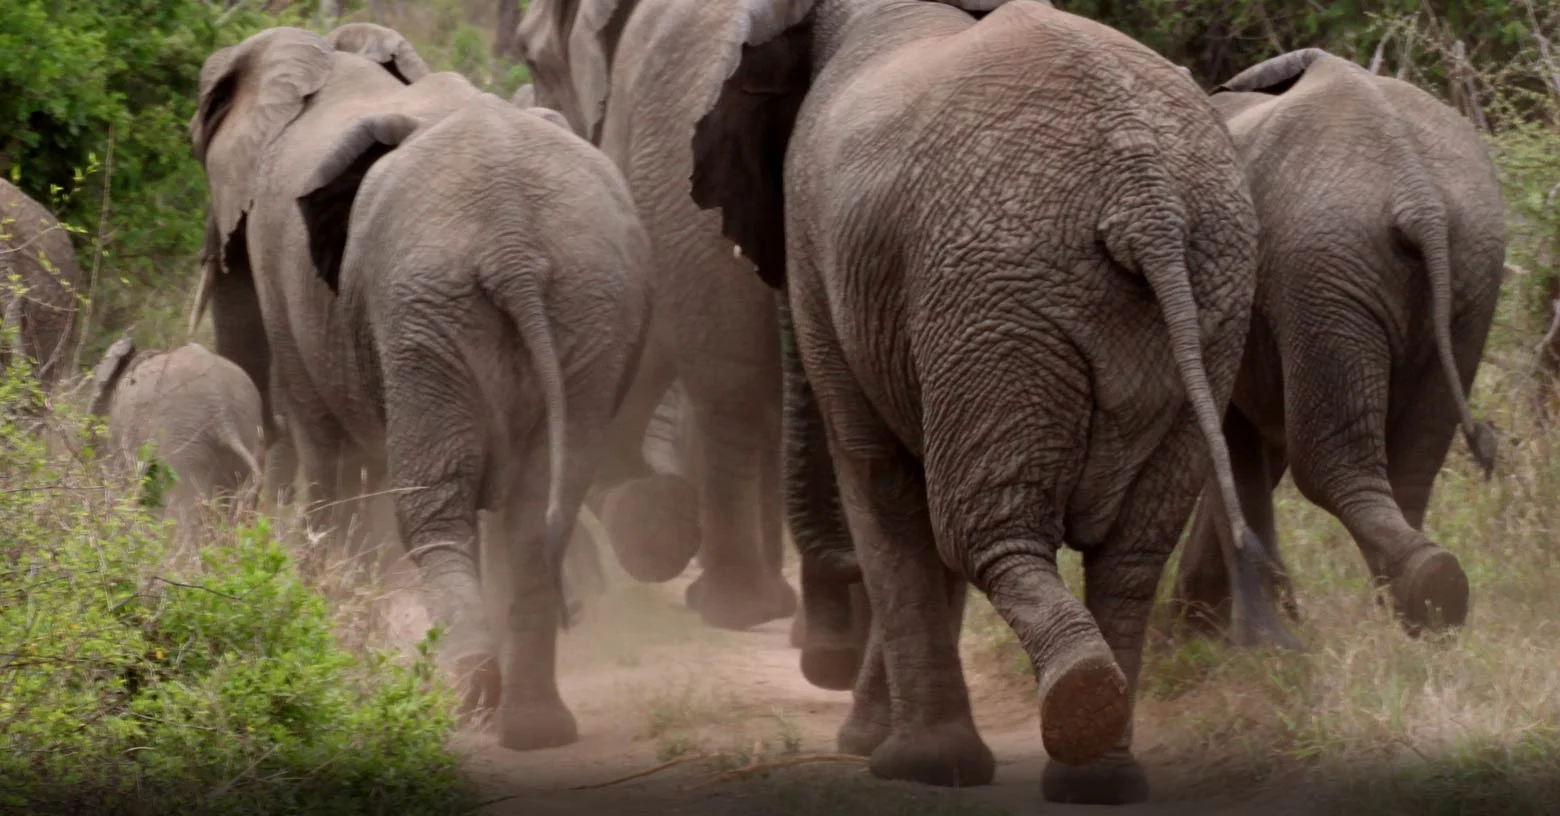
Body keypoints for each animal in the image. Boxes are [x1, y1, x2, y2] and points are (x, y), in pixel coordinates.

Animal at [189, 24, 652, 750]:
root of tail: (515, 250)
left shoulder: (278, 253)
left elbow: (330, 458)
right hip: (586, 304)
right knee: (534, 513)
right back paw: (532, 726)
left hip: (427, 310)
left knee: (432, 505)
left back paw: (468, 694)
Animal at [684, 0, 1289, 804]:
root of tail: (1145, 198)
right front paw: (887, 747)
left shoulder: (823, 249)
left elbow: (880, 483)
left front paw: (904, 763)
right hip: (1209, 290)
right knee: (1130, 551)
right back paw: (1097, 770)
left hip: (996, 302)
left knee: (980, 528)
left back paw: (1064, 714)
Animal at [1171, 49, 1506, 641]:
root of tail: (1418, 194)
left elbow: (1236, 445)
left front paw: (1249, 642)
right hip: (1464, 270)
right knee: (1416, 457)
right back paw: (1421, 606)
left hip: (1323, 268)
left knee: (1328, 464)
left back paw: (1418, 598)